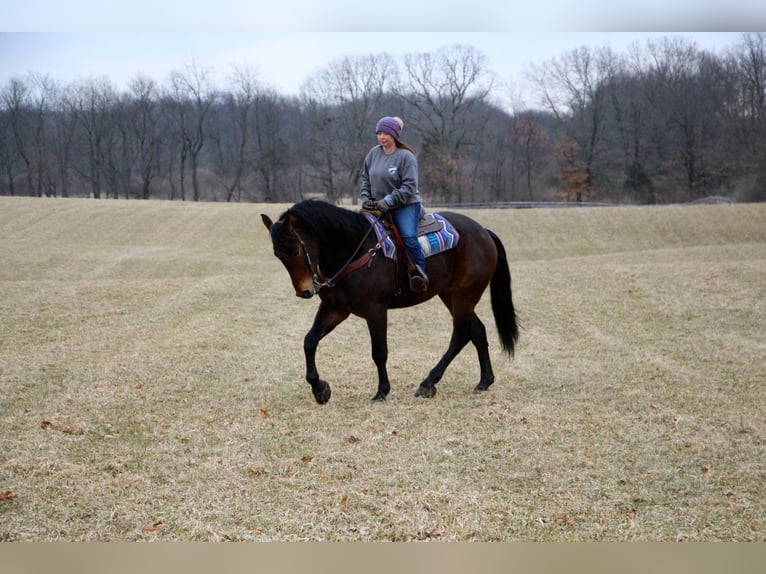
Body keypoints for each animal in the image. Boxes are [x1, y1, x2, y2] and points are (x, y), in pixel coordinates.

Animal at [260, 201, 520, 404]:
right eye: (277, 254)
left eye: (295, 250)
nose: (304, 291)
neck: (354, 250)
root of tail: (483, 231)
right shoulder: (335, 309)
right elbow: (309, 341)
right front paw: (320, 389)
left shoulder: (375, 310)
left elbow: (379, 351)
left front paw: (382, 391)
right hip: (450, 295)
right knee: (476, 331)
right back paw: (484, 381)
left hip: (465, 294)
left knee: (460, 335)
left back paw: (428, 383)